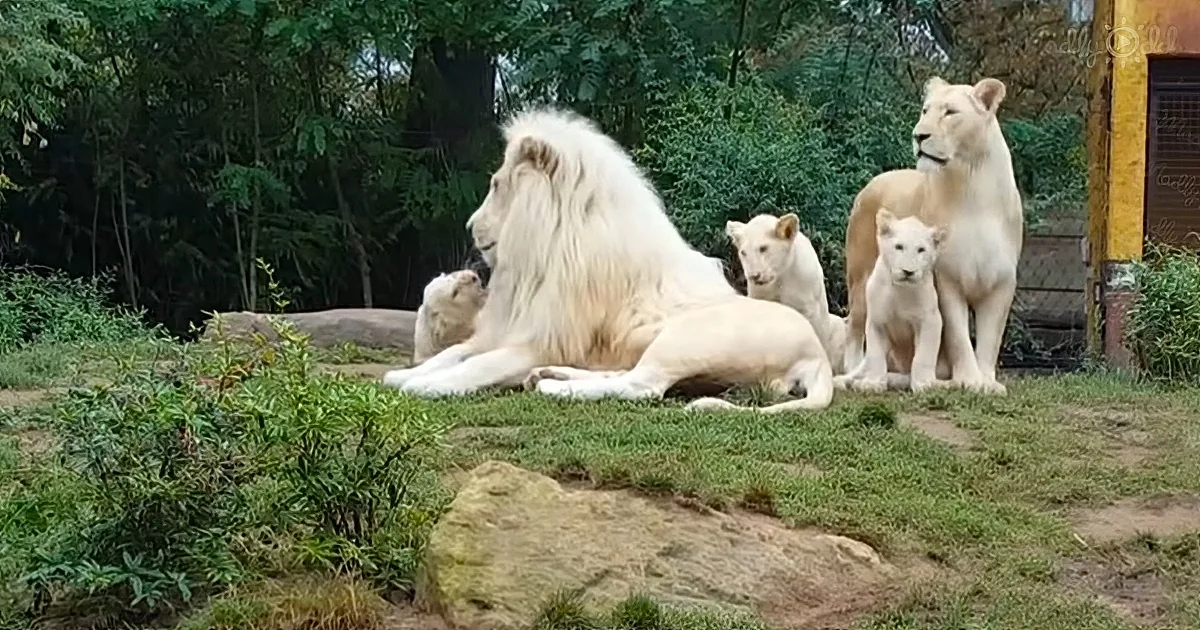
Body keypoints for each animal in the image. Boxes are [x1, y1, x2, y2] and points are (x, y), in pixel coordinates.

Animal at [380, 108, 834, 412]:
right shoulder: (504, 329)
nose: (471, 226)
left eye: (496, 184)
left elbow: (476, 366)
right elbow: (452, 353)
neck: (545, 247)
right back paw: (549, 376)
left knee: (642, 385)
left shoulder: (539, 339)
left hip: (686, 338)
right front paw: (403, 374)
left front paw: (425, 386)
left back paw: (552, 386)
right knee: (626, 375)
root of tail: (816, 353)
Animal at [726, 213, 850, 373]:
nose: (754, 276)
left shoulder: (809, 309)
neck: (781, 276)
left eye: (763, 248)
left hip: (837, 324)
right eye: (743, 252)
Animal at [836, 209, 953, 393]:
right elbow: (876, 355)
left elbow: (923, 356)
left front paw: (923, 385)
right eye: (899, 247)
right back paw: (845, 381)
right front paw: (874, 383)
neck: (900, 290)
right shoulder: (876, 321)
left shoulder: (930, 321)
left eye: (921, 250)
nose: (908, 272)